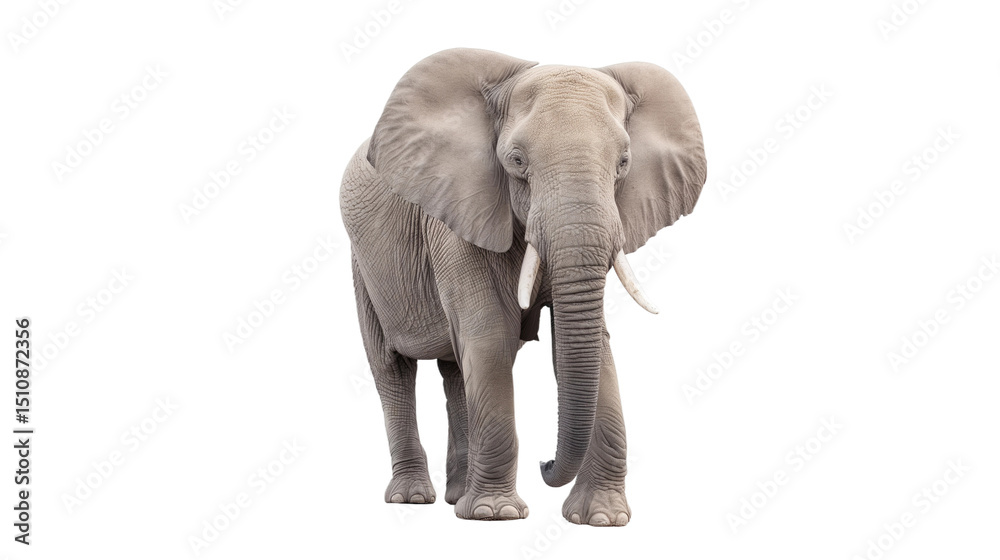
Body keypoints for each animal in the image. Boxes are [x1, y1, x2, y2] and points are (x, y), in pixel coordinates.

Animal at [340, 48, 706, 525]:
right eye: (515, 161)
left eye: (624, 163)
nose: (545, 463)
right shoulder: (456, 214)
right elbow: (491, 335)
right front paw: (495, 515)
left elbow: (587, 343)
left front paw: (602, 519)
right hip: (363, 265)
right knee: (392, 368)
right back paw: (413, 499)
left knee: (455, 369)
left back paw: (457, 497)